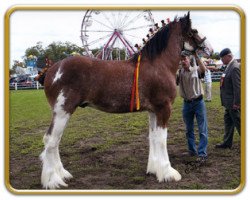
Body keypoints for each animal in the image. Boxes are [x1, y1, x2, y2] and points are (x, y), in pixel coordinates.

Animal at [39, 12, 213, 189]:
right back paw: (53, 181)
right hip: (63, 111)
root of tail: (52, 69)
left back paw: (62, 174)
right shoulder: (163, 109)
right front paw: (167, 173)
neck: (158, 65)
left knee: (55, 141)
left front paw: (154, 169)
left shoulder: (153, 111)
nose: (210, 49)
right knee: (51, 140)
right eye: (193, 31)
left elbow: (153, 137)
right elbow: (161, 139)